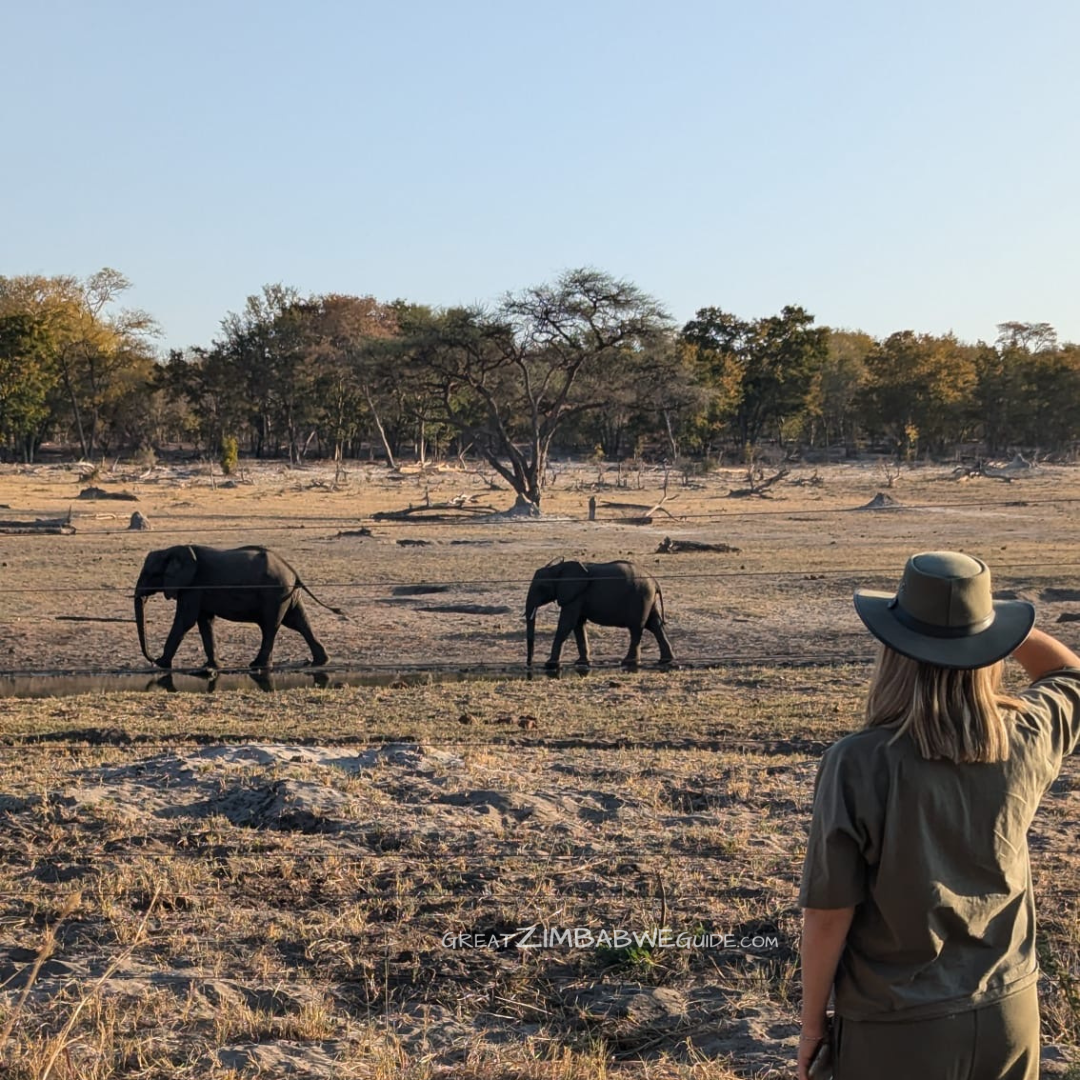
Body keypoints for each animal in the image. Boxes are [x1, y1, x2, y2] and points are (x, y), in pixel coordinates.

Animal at [133, 544, 341, 669]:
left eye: (149, 574)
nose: (152, 659)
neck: (172, 549)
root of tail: (292, 571)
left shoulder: (193, 586)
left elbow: (185, 620)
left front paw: (162, 664)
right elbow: (205, 621)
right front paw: (212, 667)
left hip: (274, 593)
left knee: (270, 626)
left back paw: (257, 665)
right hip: (287, 594)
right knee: (299, 621)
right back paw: (321, 662)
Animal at [524, 561, 673, 669]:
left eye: (541, 587)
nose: (529, 665)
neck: (558, 568)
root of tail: (655, 581)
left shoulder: (575, 596)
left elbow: (567, 623)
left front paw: (550, 665)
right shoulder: (577, 596)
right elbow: (578, 624)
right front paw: (582, 663)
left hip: (640, 597)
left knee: (637, 627)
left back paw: (628, 663)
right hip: (647, 598)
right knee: (654, 624)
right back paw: (665, 661)